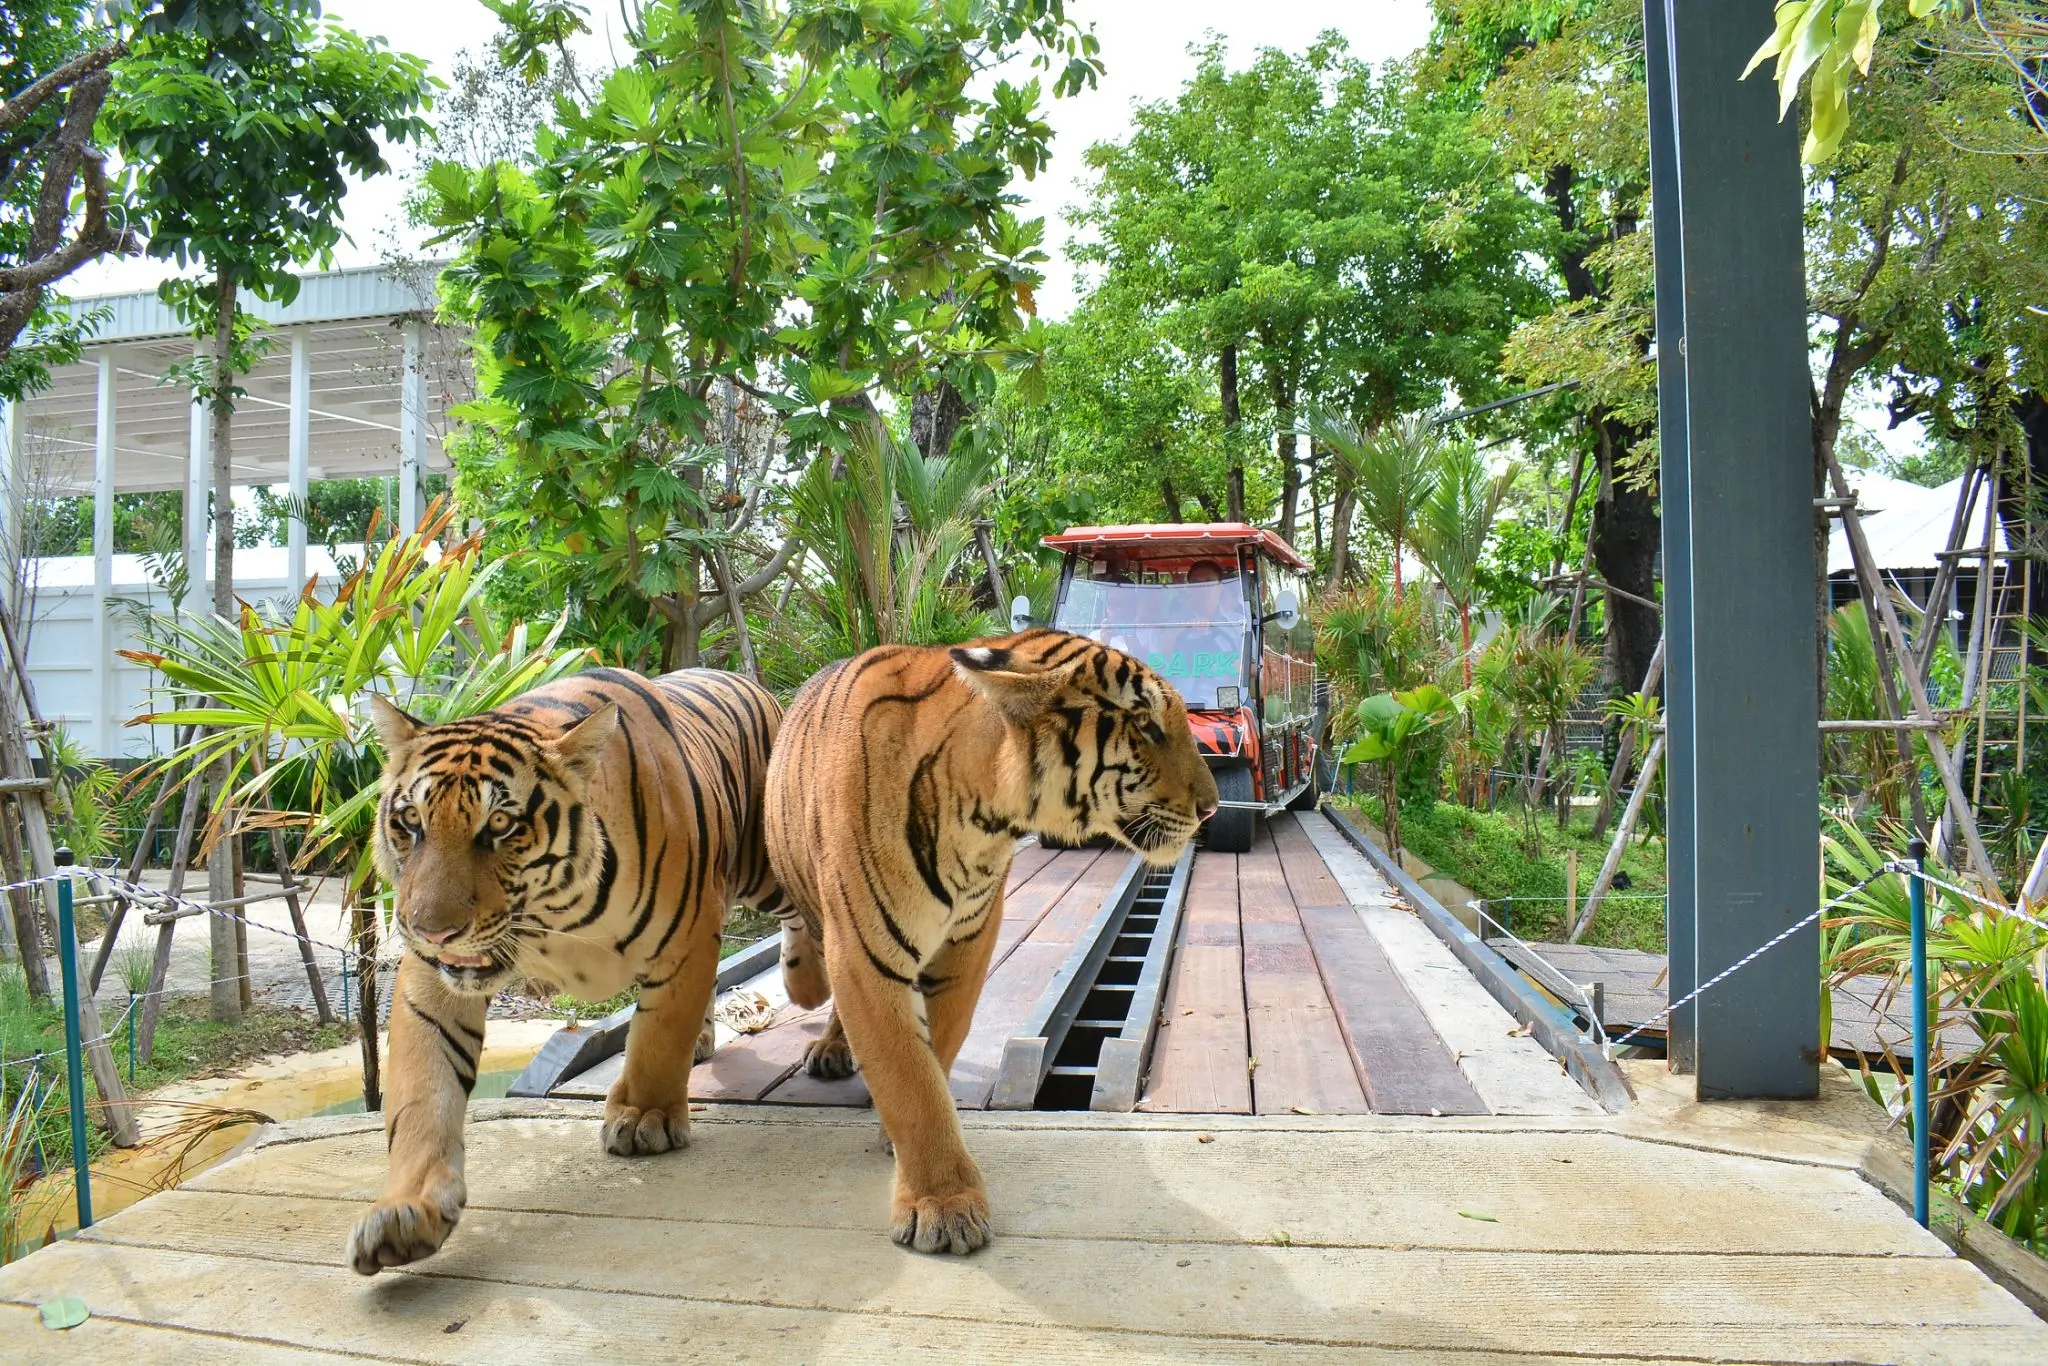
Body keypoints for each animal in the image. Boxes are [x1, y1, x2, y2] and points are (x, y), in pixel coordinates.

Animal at [345, 667, 785, 1276]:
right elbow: (421, 1096)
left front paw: (644, 1117)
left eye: (500, 825)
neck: (554, 915)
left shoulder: (687, 938)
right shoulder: (432, 981)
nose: (431, 931)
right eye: (411, 821)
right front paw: (408, 1210)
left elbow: (657, 1038)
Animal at [763, 628, 1219, 1255]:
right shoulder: (864, 950)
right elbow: (908, 1075)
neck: (983, 818)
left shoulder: (968, 943)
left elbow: (936, 1051)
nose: (1212, 806)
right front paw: (943, 1205)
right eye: (1145, 725)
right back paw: (831, 1045)